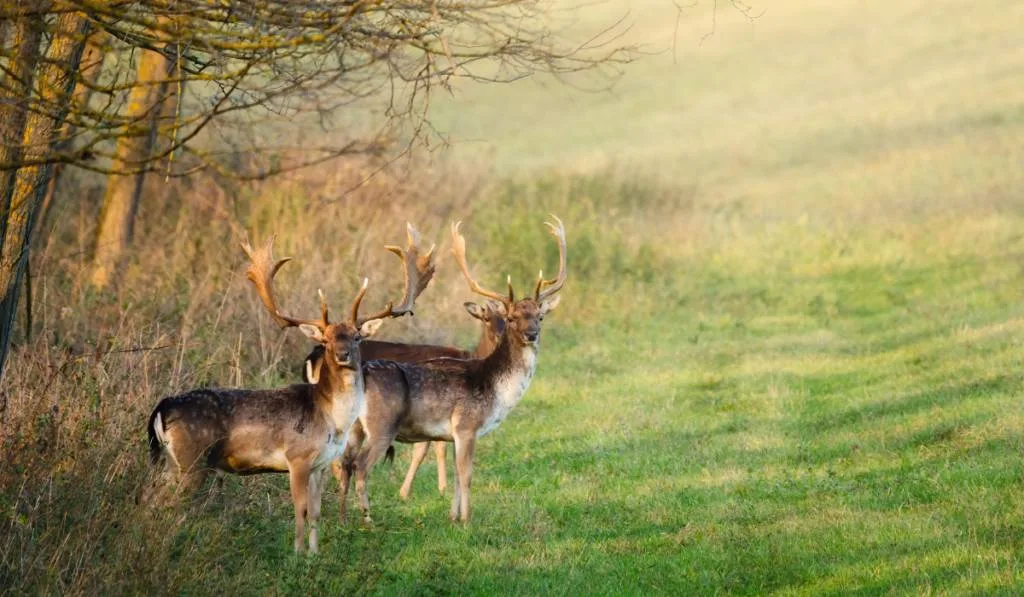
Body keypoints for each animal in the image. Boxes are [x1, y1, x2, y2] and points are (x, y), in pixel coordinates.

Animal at [145, 225, 432, 557]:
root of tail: (163, 406)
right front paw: (297, 553)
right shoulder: (297, 457)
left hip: (170, 461)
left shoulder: (320, 464)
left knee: (150, 498)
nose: (343, 354)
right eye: (326, 340)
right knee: (165, 503)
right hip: (190, 459)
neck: (331, 420)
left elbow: (316, 512)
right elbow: (300, 510)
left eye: (357, 336)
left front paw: (314, 553)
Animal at [301, 299, 505, 499]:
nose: (500, 336)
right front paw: (432, 490)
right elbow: (430, 448)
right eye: (486, 318)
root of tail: (312, 357)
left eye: (507, 318)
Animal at [339, 215, 573, 524]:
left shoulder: (452, 433)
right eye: (512, 317)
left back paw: (343, 519)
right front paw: (466, 519)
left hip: (354, 426)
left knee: (345, 462)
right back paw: (368, 519)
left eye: (540, 316)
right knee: (361, 465)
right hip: (381, 425)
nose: (531, 334)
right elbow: (466, 475)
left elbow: (455, 475)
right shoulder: (466, 425)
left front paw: (452, 516)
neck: (497, 392)